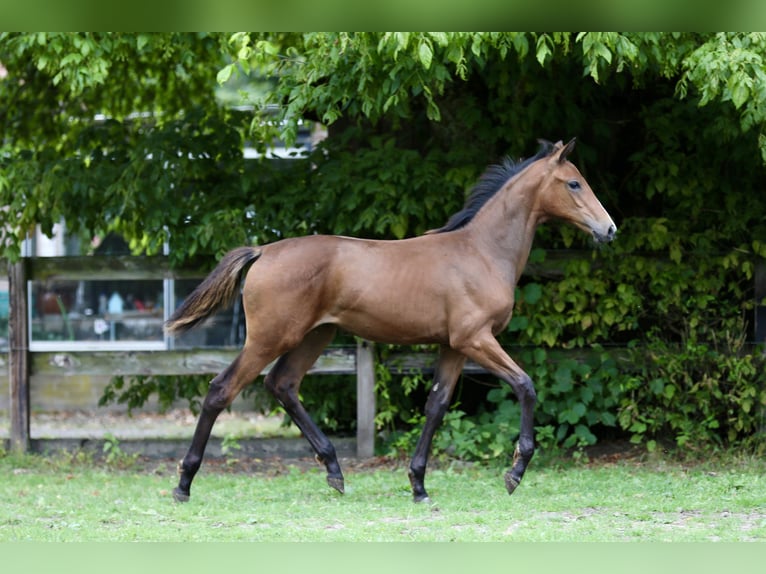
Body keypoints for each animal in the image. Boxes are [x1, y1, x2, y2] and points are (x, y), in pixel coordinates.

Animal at [166, 138, 616, 504]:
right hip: (269, 338)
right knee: (221, 390)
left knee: (283, 384)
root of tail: (263, 251)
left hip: (315, 335)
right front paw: (514, 472)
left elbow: (436, 405)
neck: (482, 251)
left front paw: (418, 485)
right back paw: (184, 483)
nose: (609, 229)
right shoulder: (476, 339)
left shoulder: (453, 345)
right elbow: (525, 385)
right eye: (574, 183)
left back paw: (335, 472)